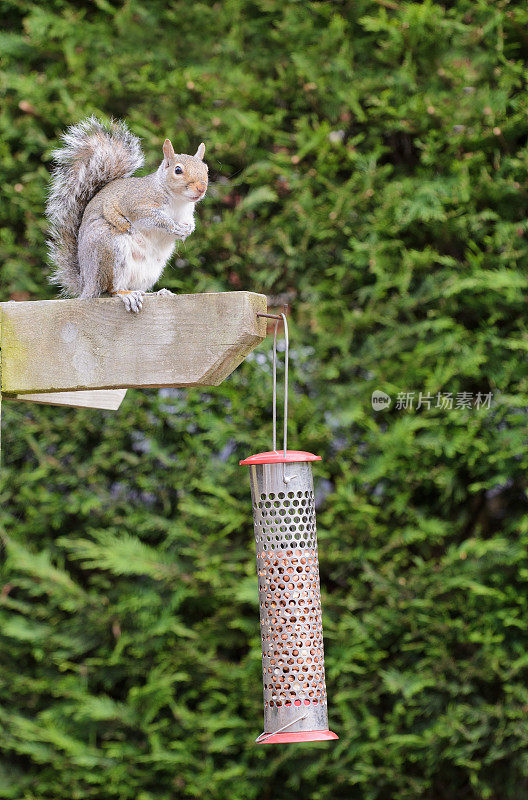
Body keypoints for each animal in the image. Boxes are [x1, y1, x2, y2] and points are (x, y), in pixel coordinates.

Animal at [47, 115, 208, 312]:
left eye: (206, 169)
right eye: (178, 170)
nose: (201, 188)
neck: (178, 201)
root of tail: (87, 283)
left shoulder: (186, 213)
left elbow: (189, 221)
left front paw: (188, 229)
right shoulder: (138, 204)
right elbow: (153, 218)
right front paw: (172, 227)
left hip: (151, 268)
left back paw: (157, 293)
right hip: (108, 250)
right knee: (110, 290)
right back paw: (126, 295)